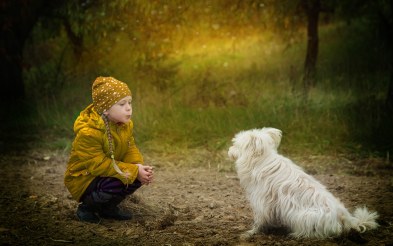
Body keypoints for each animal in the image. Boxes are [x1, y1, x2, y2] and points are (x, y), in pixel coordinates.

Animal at [228, 128, 378, 239]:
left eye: (236, 145)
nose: (229, 150)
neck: (261, 160)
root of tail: (347, 219)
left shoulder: (262, 203)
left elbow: (259, 220)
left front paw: (251, 233)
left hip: (303, 216)